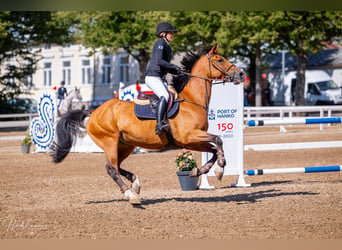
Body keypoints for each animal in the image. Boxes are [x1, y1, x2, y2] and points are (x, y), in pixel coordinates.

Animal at [49, 45, 244, 205]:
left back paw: (135, 183)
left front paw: (199, 171)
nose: (242, 74)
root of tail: (93, 111)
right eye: (220, 59)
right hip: (109, 142)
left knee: (116, 166)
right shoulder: (189, 136)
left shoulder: (190, 141)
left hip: (125, 145)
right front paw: (220, 168)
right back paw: (131, 195)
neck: (191, 100)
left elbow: (213, 148)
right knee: (111, 168)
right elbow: (218, 140)